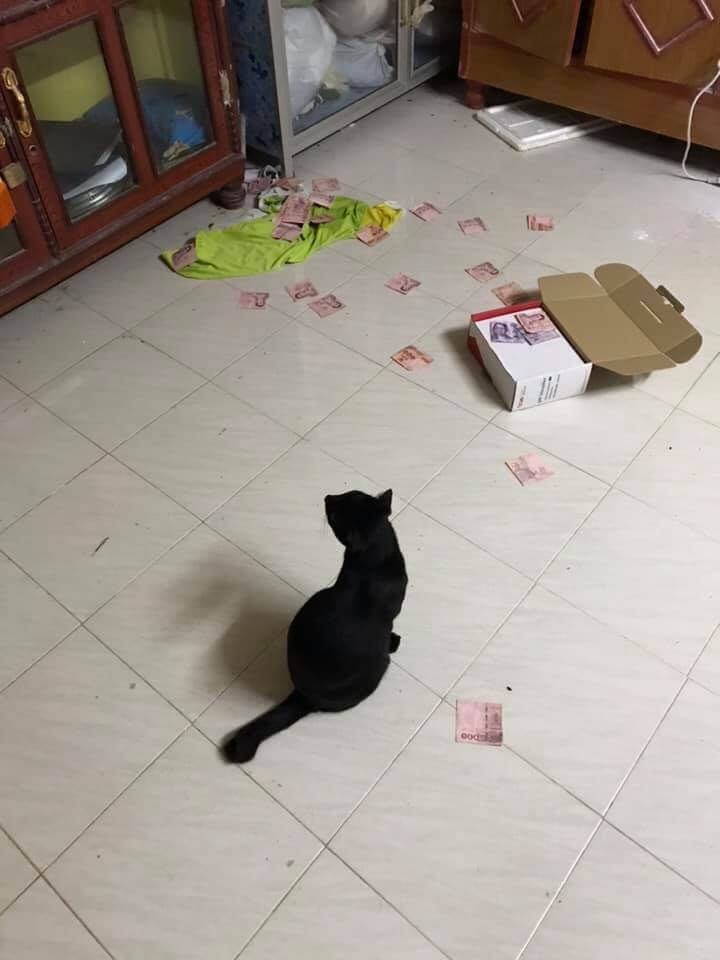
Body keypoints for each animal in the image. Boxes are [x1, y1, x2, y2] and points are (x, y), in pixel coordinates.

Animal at [221, 488, 407, 763]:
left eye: (351, 493)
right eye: (334, 513)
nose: (328, 497)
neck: (373, 560)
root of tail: (304, 697)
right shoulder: (391, 616)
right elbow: (389, 631)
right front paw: (394, 640)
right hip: (376, 672)